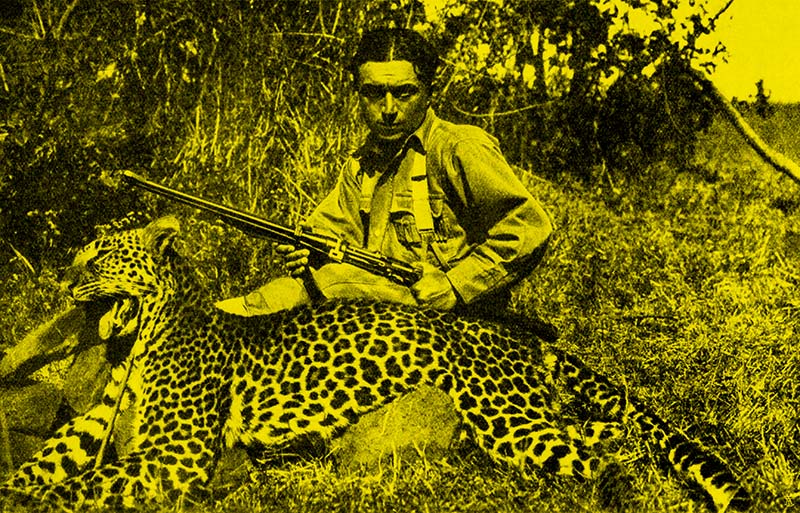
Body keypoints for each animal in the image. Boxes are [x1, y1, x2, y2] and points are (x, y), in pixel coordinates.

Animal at [0, 216, 750, 511]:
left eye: (101, 258)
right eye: (79, 256)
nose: (66, 281)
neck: (139, 341)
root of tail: (520, 337)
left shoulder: (172, 453)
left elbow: (72, 486)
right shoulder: (91, 428)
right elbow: (44, 464)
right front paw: (17, 483)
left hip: (505, 420)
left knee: (612, 452)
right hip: (527, 416)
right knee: (607, 435)